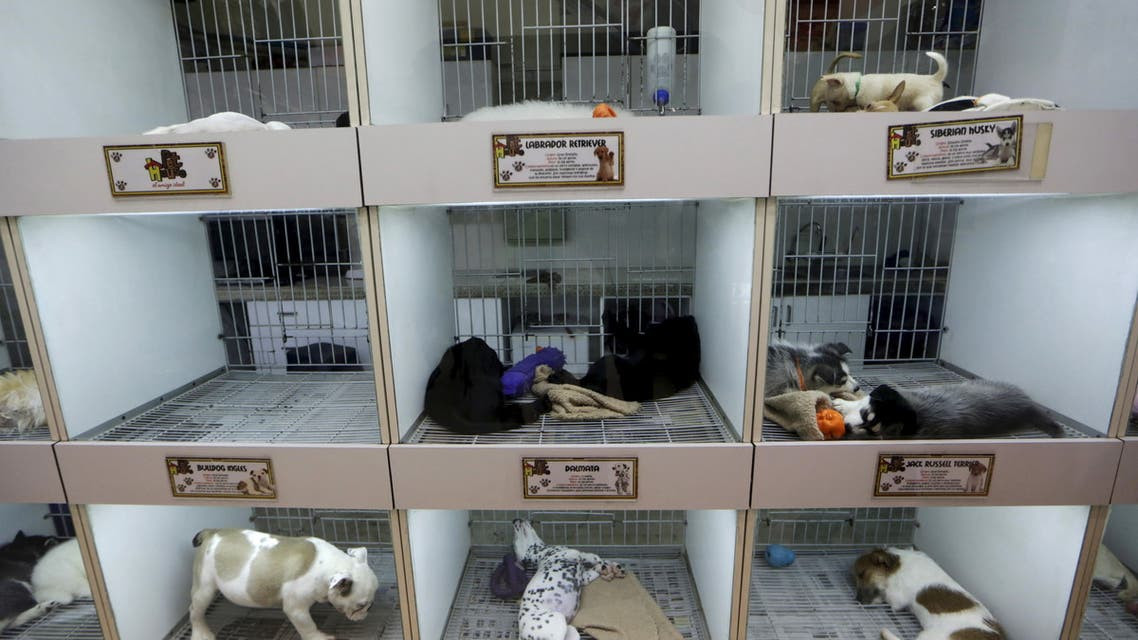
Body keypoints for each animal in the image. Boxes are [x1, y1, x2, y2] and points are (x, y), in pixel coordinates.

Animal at [188, 526, 380, 637]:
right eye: (361, 606)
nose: (370, 609)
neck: (327, 566)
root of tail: (211, 533)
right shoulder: (296, 608)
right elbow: (307, 626)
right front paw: (319, 637)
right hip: (204, 587)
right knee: (196, 611)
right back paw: (202, 634)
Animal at [855, 542, 1005, 637]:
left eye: (861, 574)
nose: (857, 600)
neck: (897, 566)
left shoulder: (896, 598)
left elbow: (886, 597)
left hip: (929, 636)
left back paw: (885, 631)